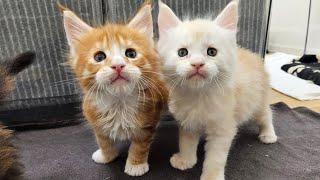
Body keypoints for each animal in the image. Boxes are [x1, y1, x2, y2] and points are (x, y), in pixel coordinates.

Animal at [61, 3, 169, 176]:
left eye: (131, 53)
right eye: (99, 57)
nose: (118, 65)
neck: (118, 103)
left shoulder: (147, 124)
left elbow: (140, 146)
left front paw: (136, 165)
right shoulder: (95, 120)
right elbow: (103, 140)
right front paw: (107, 156)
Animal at [158, 0, 278, 179]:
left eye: (212, 52)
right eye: (182, 52)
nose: (197, 64)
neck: (198, 95)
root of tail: (253, 55)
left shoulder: (223, 129)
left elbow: (216, 158)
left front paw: (211, 176)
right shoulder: (187, 122)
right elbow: (186, 143)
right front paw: (186, 160)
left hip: (258, 101)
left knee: (267, 114)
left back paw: (268, 134)